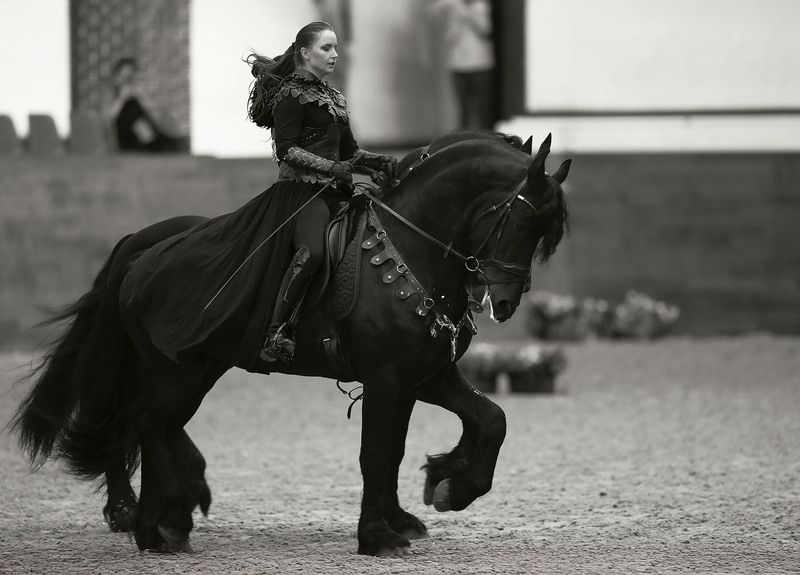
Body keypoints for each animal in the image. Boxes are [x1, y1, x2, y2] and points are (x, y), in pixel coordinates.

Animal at [12, 132, 571, 557]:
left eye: (546, 231)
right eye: (521, 220)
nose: (505, 302)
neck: (409, 248)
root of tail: (144, 250)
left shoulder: (423, 375)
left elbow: (485, 421)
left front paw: (445, 487)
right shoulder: (387, 378)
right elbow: (377, 453)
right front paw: (377, 537)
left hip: (195, 368)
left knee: (148, 424)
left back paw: (165, 513)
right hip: (180, 371)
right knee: (146, 420)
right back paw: (158, 525)